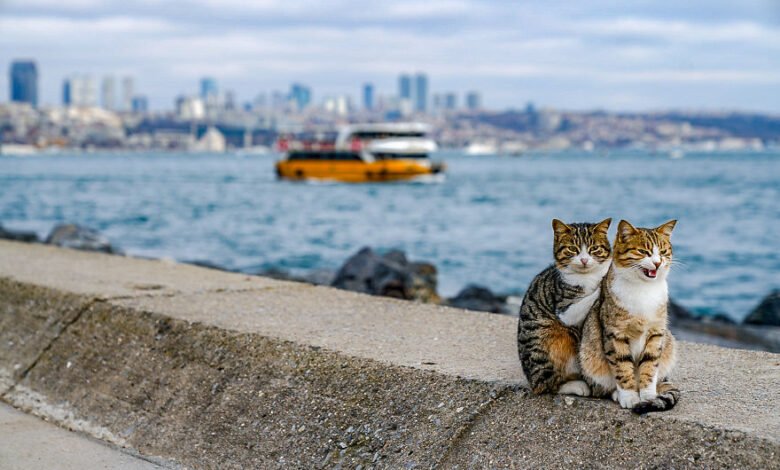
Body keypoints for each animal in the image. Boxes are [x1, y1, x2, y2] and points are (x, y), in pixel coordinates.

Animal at [520, 218, 612, 394]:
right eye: (572, 249)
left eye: (594, 248)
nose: (584, 260)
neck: (588, 277)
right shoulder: (564, 309)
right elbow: (590, 296)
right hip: (545, 340)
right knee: (547, 384)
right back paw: (577, 386)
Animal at [580, 218, 680, 414]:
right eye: (643, 252)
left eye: (663, 252)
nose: (657, 263)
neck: (644, 289)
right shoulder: (615, 334)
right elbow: (622, 367)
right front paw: (629, 397)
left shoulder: (656, 332)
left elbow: (649, 366)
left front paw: (648, 397)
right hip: (588, 356)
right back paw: (616, 394)